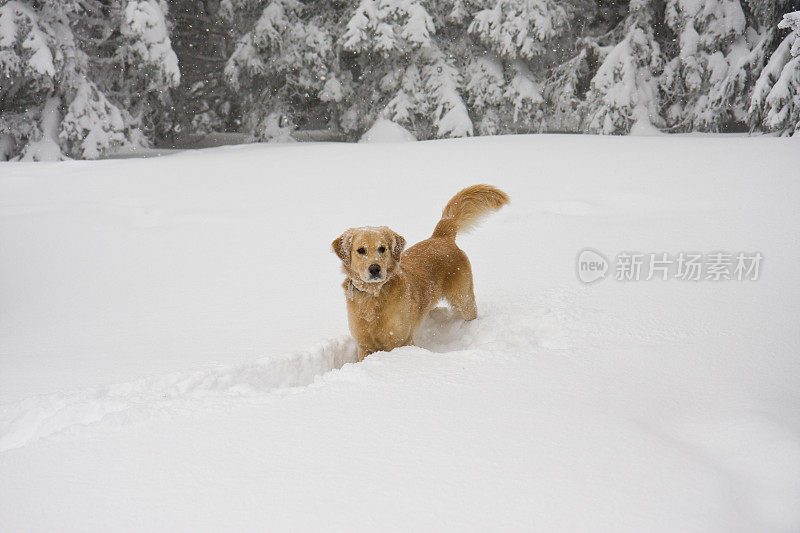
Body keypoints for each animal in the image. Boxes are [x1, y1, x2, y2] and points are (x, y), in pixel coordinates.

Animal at [332, 184, 510, 362]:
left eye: (382, 248)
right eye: (361, 250)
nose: (375, 268)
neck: (374, 295)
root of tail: (440, 237)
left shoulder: (401, 341)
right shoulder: (364, 346)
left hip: (462, 298)